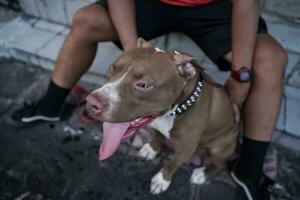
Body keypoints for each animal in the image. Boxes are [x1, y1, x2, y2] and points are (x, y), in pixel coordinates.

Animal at [85, 38, 238, 194]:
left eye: (143, 85)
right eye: (112, 68)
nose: (91, 102)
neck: (172, 112)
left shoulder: (186, 147)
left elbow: (173, 163)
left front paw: (162, 180)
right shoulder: (156, 125)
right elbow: (158, 137)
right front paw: (152, 149)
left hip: (220, 147)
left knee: (221, 163)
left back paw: (201, 173)